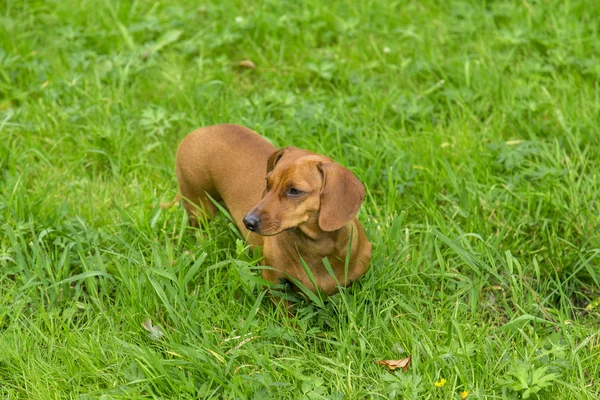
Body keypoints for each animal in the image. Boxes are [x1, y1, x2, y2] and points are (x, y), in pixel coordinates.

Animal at [171, 125, 372, 300]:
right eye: (268, 182)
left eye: (295, 191)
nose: (248, 222)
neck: (316, 248)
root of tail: (200, 130)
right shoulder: (273, 279)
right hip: (199, 207)